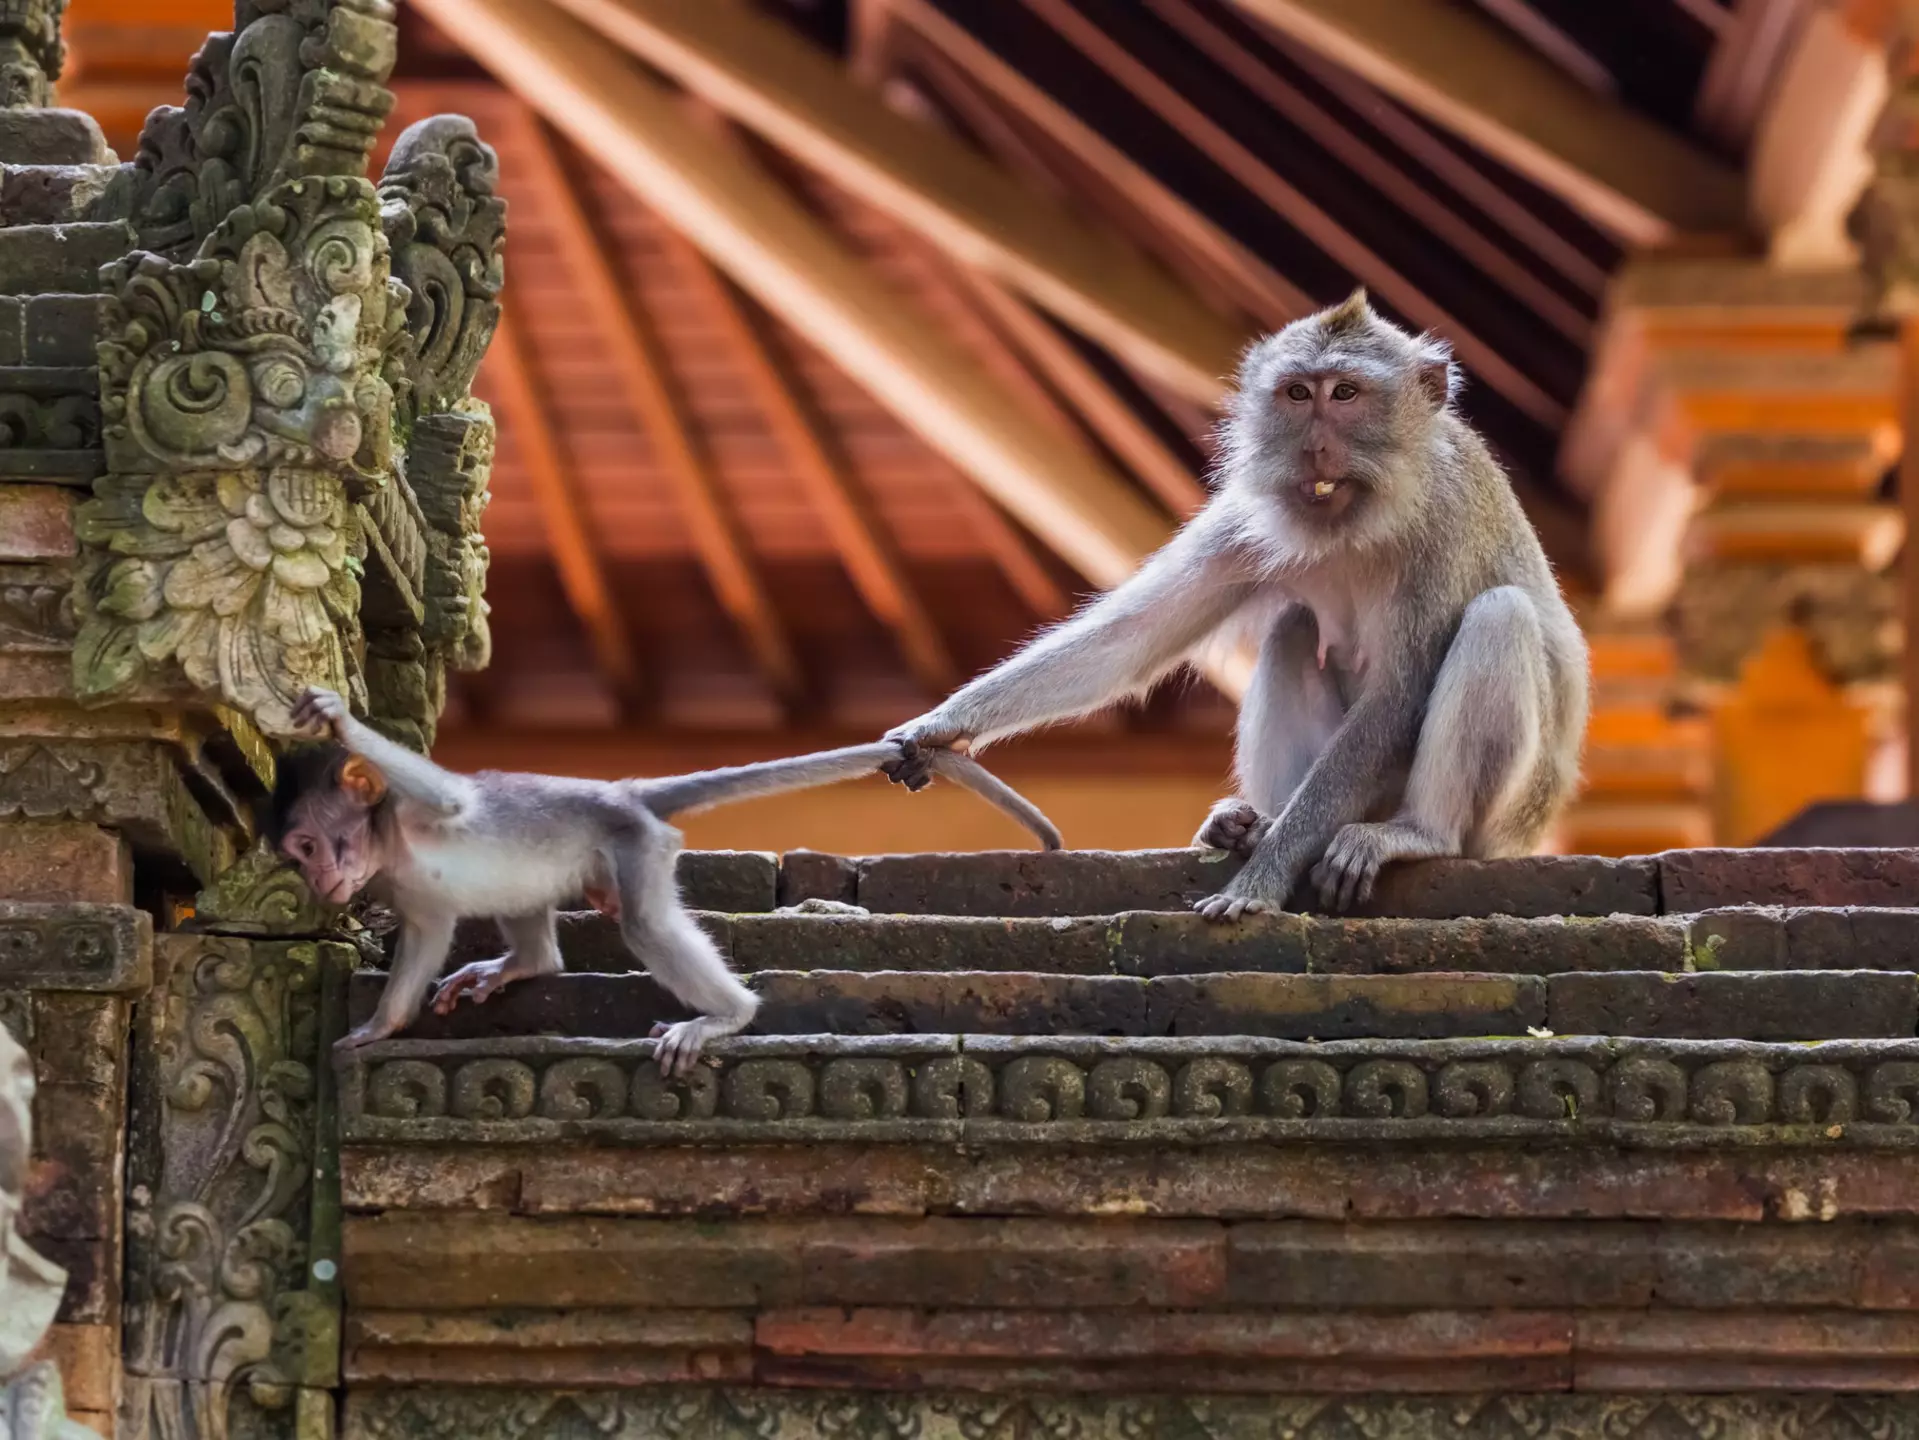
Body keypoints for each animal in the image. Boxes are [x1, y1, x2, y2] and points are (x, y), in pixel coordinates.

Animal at [270, 687, 1062, 1071]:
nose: (319, 879)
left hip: (638, 844)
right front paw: (383, 1025)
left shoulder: (412, 810)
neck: (387, 847)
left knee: (646, 924)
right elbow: (428, 931)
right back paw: (525, 963)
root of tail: (623, 792)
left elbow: (450, 800)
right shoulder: (405, 890)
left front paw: (337, 721)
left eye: (309, 843)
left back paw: (728, 1015)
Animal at [884, 290, 1589, 920]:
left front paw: (1263, 879)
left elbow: (1397, 695)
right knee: (1294, 628)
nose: (1315, 448)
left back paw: (1415, 835)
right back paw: (1251, 822)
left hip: (1509, 821)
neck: (1362, 519)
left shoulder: (1446, 520)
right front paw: (939, 725)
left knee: (1500, 617)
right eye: (1299, 395)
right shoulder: (1246, 518)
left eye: (1346, 394)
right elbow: (1134, 638)